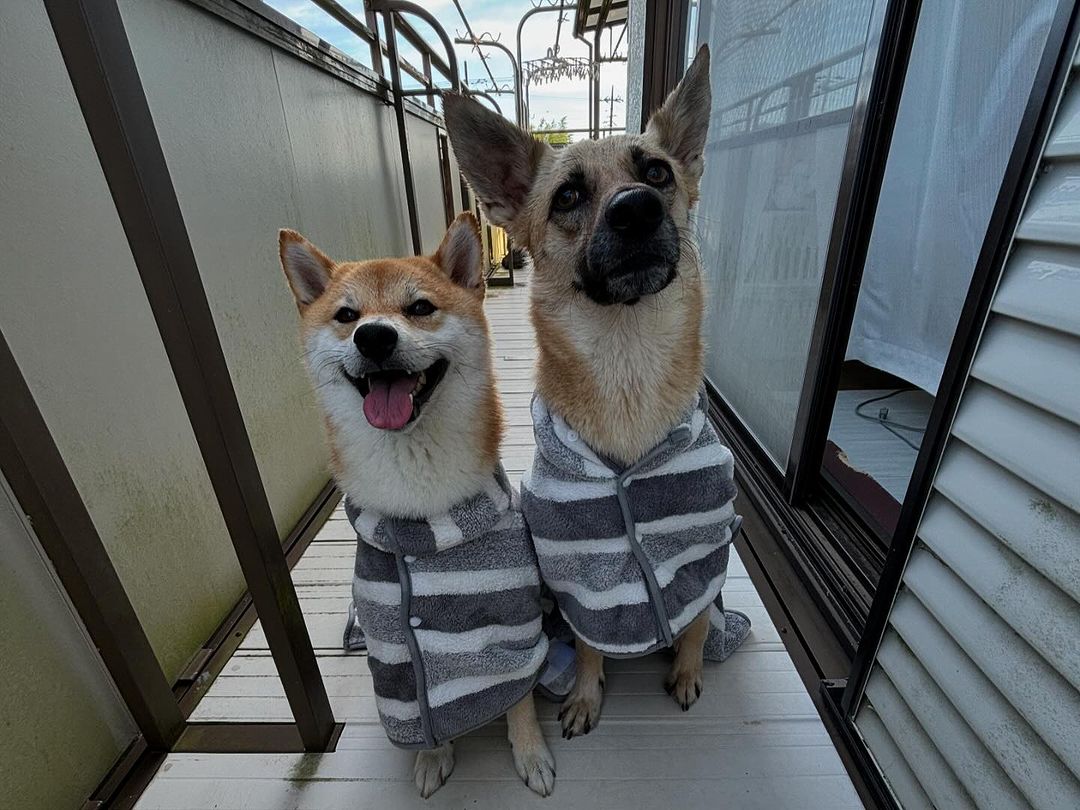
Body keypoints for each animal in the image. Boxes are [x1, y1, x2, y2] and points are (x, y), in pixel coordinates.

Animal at [279, 212, 555, 798]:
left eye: (421, 308)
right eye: (346, 316)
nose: (374, 335)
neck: (425, 513)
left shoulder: (513, 615)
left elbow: (519, 693)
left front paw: (530, 753)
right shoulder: (393, 641)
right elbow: (418, 703)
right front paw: (432, 756)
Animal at [445, 45, 744, 739]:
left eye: (657, 172)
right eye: (569, 196)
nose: (637, 208)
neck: (626, 361)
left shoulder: (702, 543)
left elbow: (694, 619)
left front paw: (687, 670)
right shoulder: (576, 560)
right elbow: (586, 640)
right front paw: (584, 695)